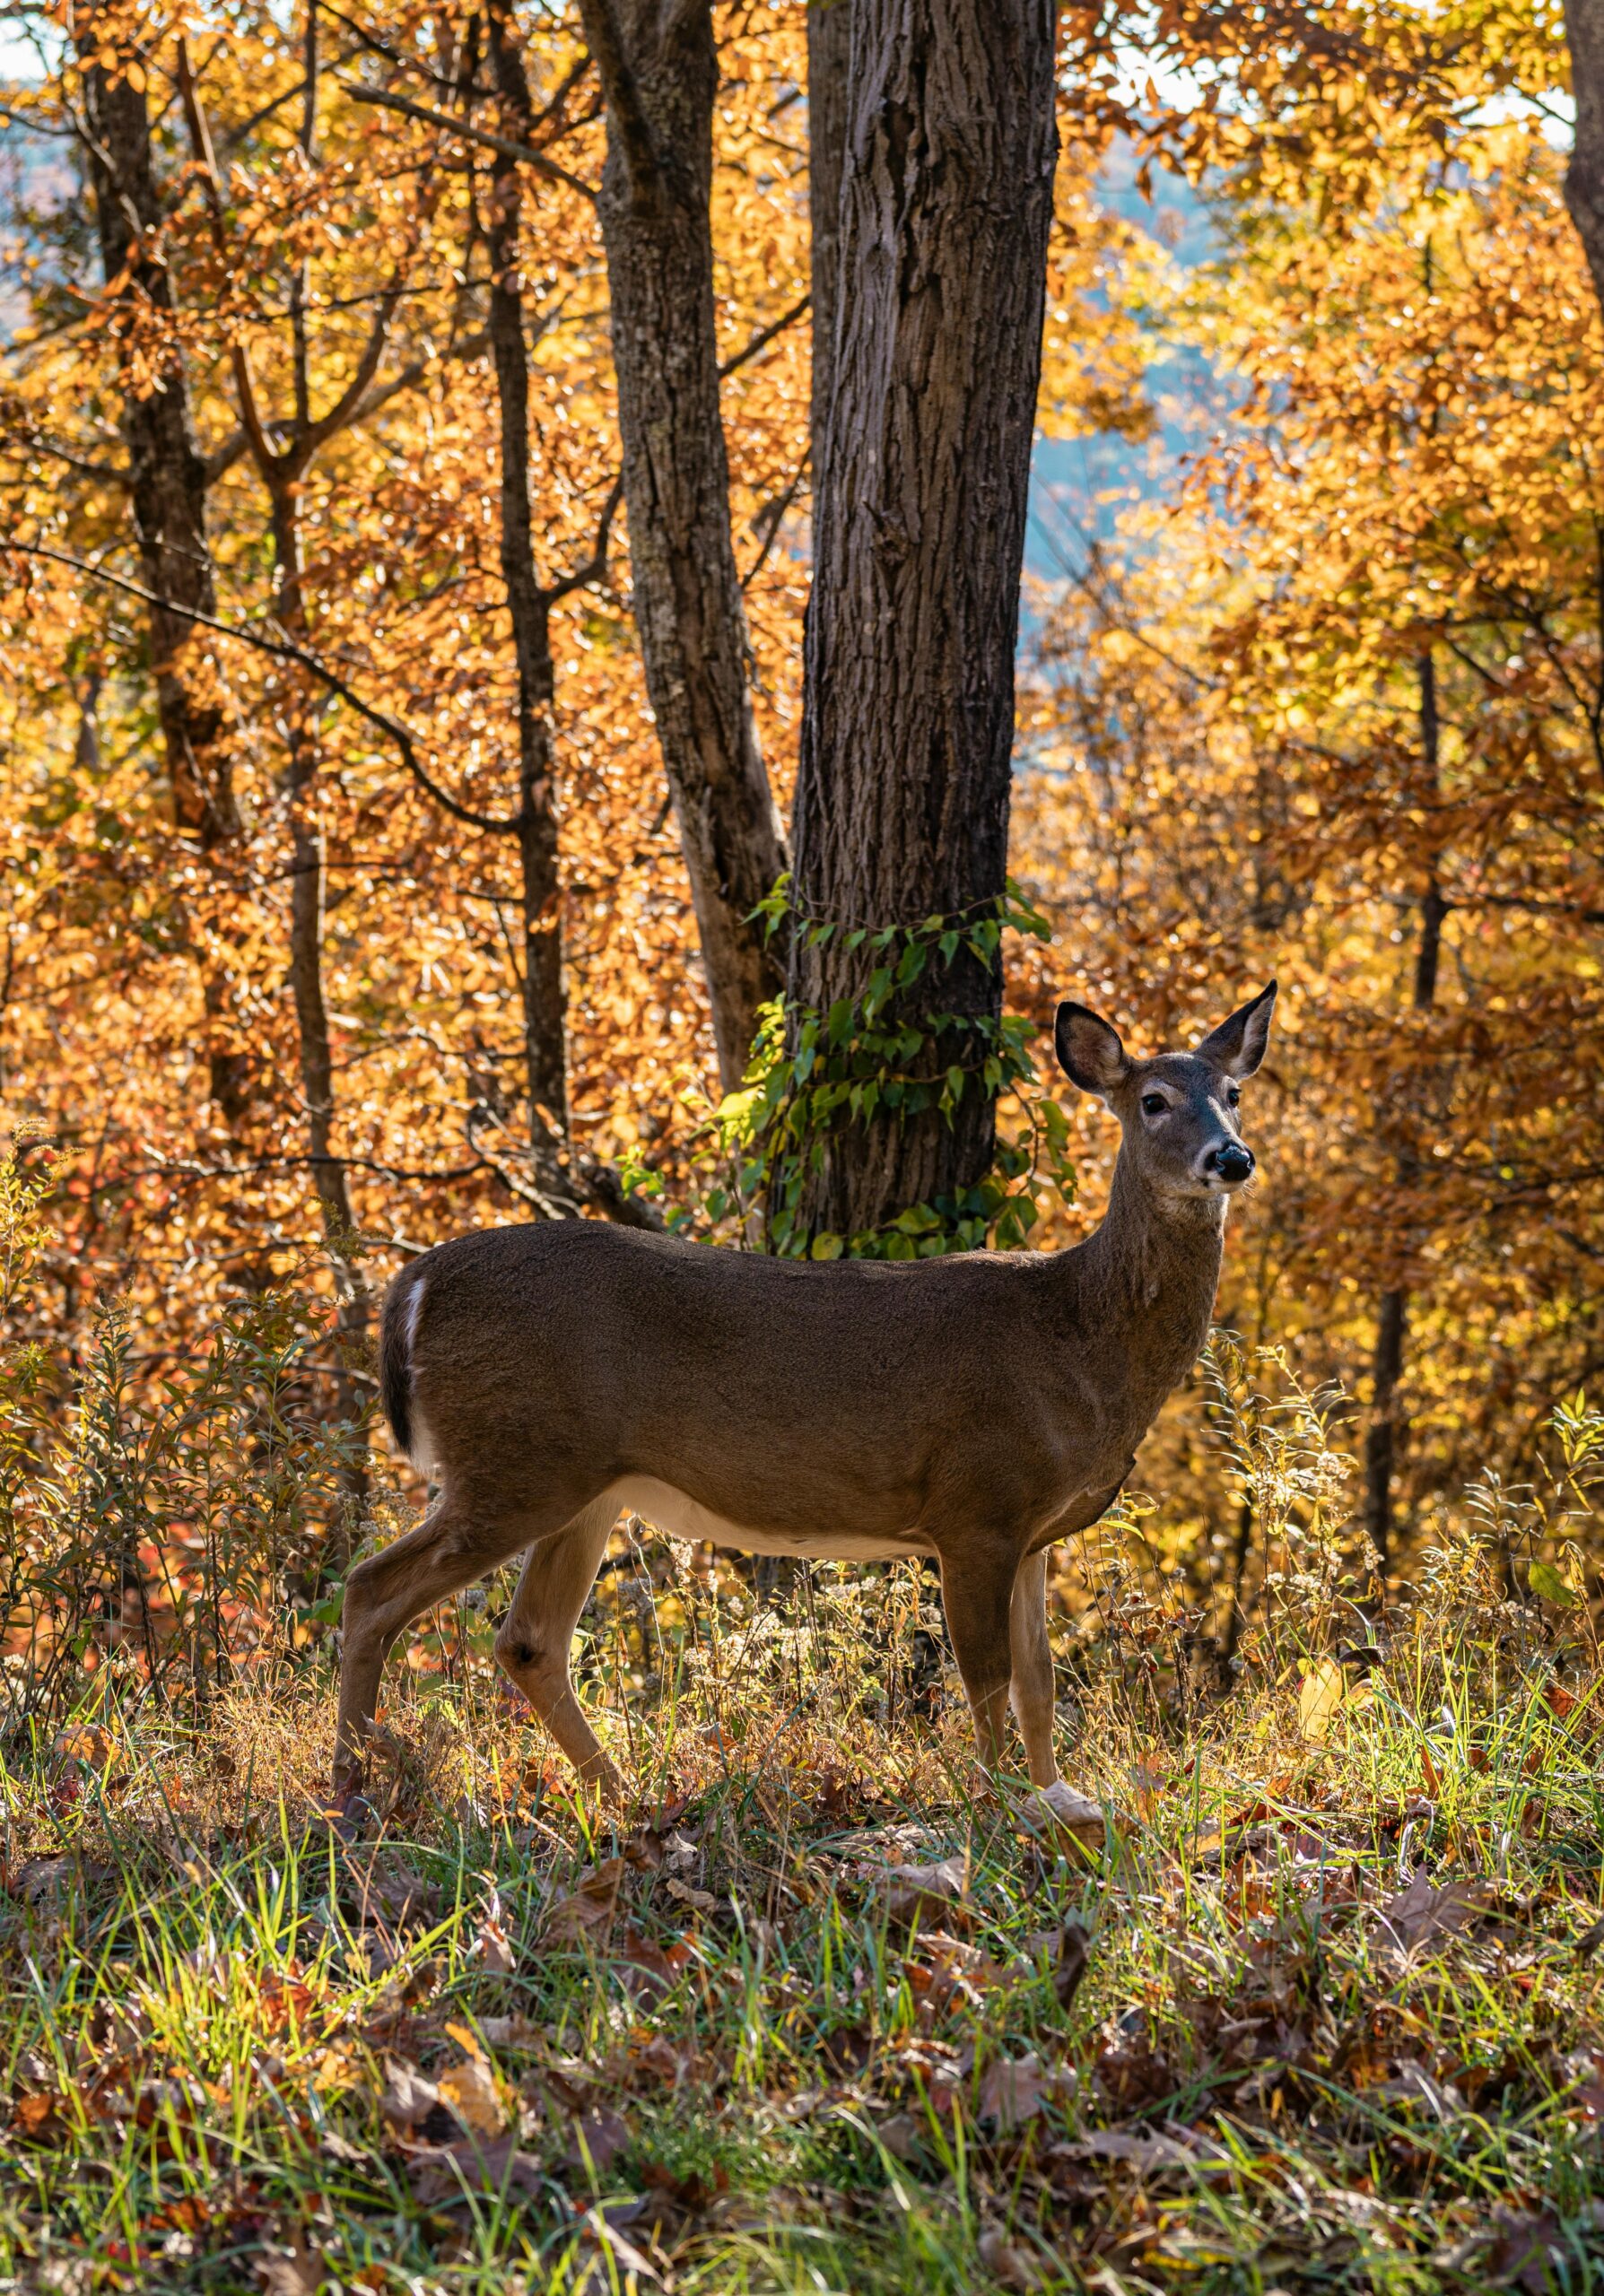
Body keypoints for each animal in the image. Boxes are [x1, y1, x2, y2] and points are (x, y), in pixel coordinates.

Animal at [334, 982, 1276, 1839]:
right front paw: (999, 1808)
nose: (1231, 1159)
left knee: (527, 1640)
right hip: (514, 1463)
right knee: (372, 1587)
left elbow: (1040, 1682)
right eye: (1152, 1101)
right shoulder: (975, 1504)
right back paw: (350, 1792)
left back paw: (629, 1800)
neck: (1077, 1339)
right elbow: (989, 1679)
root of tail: (412, 1285)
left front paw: (1060, 1802)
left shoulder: (1034, 1529)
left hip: (582, 1484)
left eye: (1233, 1093)